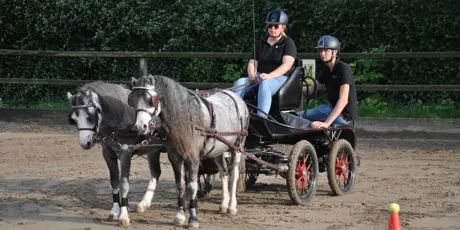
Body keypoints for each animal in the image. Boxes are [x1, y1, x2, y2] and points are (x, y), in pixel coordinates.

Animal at [66, 81, 164, 226]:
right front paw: (115, 210)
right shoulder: (108, 154)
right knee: (155, 173)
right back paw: (143, 204)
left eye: (90, 117)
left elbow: (124, 184)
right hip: (152, 150)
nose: (85, 143)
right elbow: (114, 181)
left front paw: (123, 215)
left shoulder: (125, 152)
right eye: (74, 119)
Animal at [129, 75, 250, 228]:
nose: (140, 126)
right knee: (224, 173)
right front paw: (179, 215)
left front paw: (193, 218)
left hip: (237, 146)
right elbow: (180, 185)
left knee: (233, 175)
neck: (185, 119)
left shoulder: (193, 159)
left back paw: (231, 207)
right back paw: (223, 204)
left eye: (151, 99)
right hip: (218, 150)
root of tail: (235, 97)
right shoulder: (175, 158)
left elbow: (192, 186)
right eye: (132, 100)